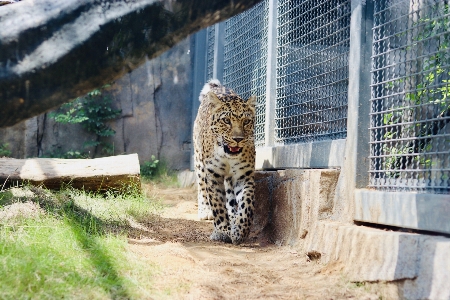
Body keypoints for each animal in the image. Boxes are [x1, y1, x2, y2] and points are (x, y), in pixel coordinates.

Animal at [193, 80, 256, 246]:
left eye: (246, 121)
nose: (238, 139)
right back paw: (205, 211)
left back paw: (233, 216)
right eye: (226, 121)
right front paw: (222, 231)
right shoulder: (213, 174)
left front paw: (240, 230)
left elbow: (246, 204)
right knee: (202, 187)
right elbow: (218, 206)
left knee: (231, 198)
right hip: (199, 161)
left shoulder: (244, 176)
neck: (228, 156)